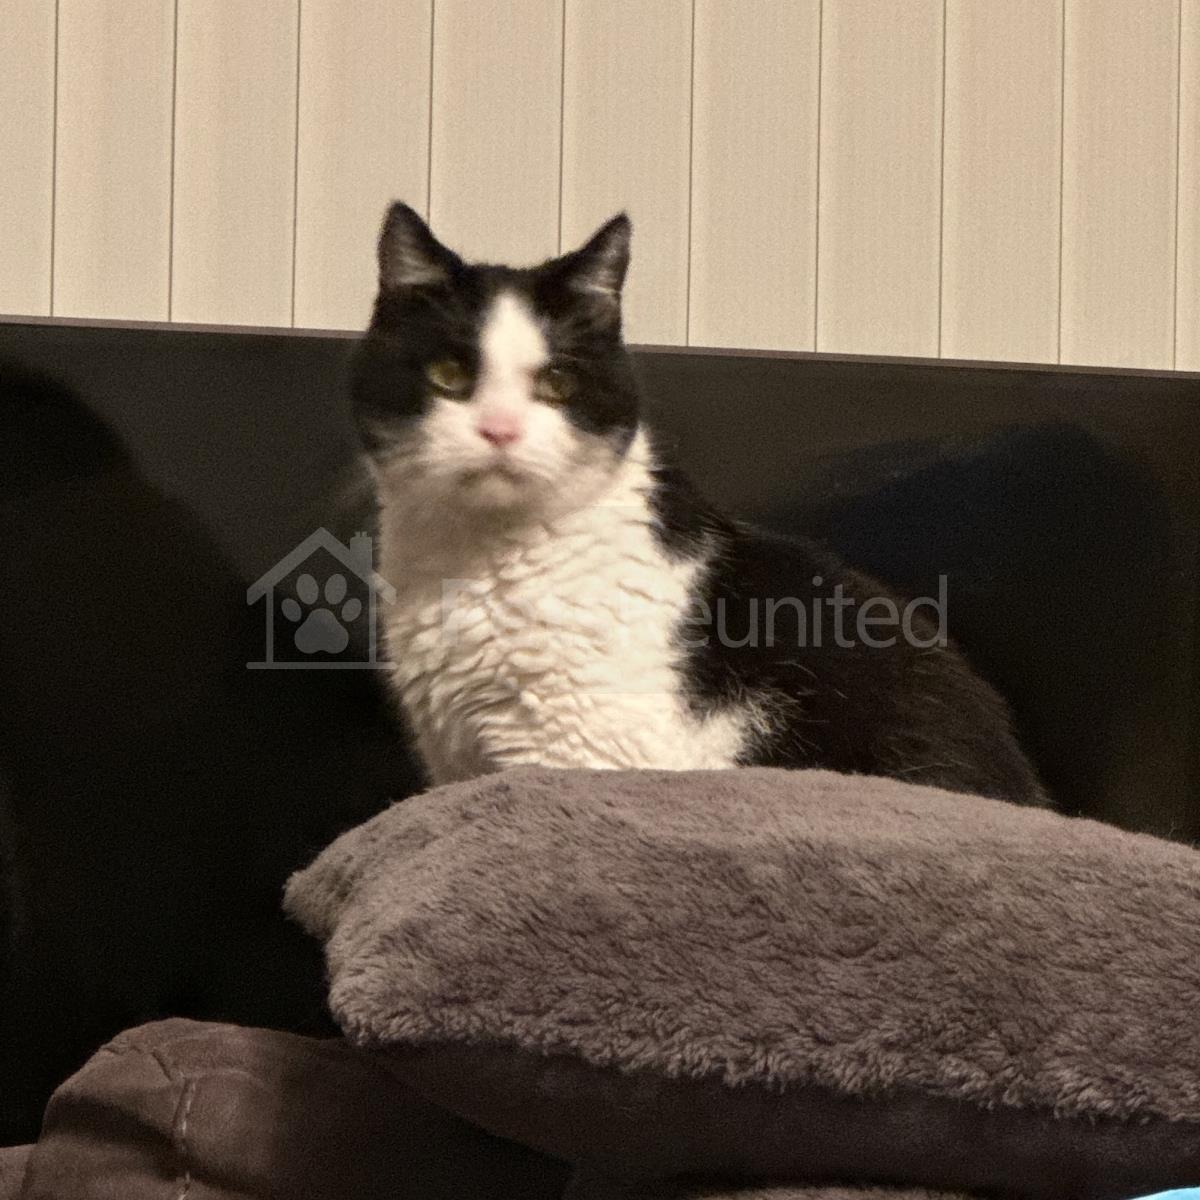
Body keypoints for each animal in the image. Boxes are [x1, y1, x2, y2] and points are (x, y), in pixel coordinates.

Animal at [354, 203, 1048, 806]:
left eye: (557, 383)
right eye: (449, 376)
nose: (499, 430)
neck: (476, 558)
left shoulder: (574, 750)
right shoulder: (456, 758)